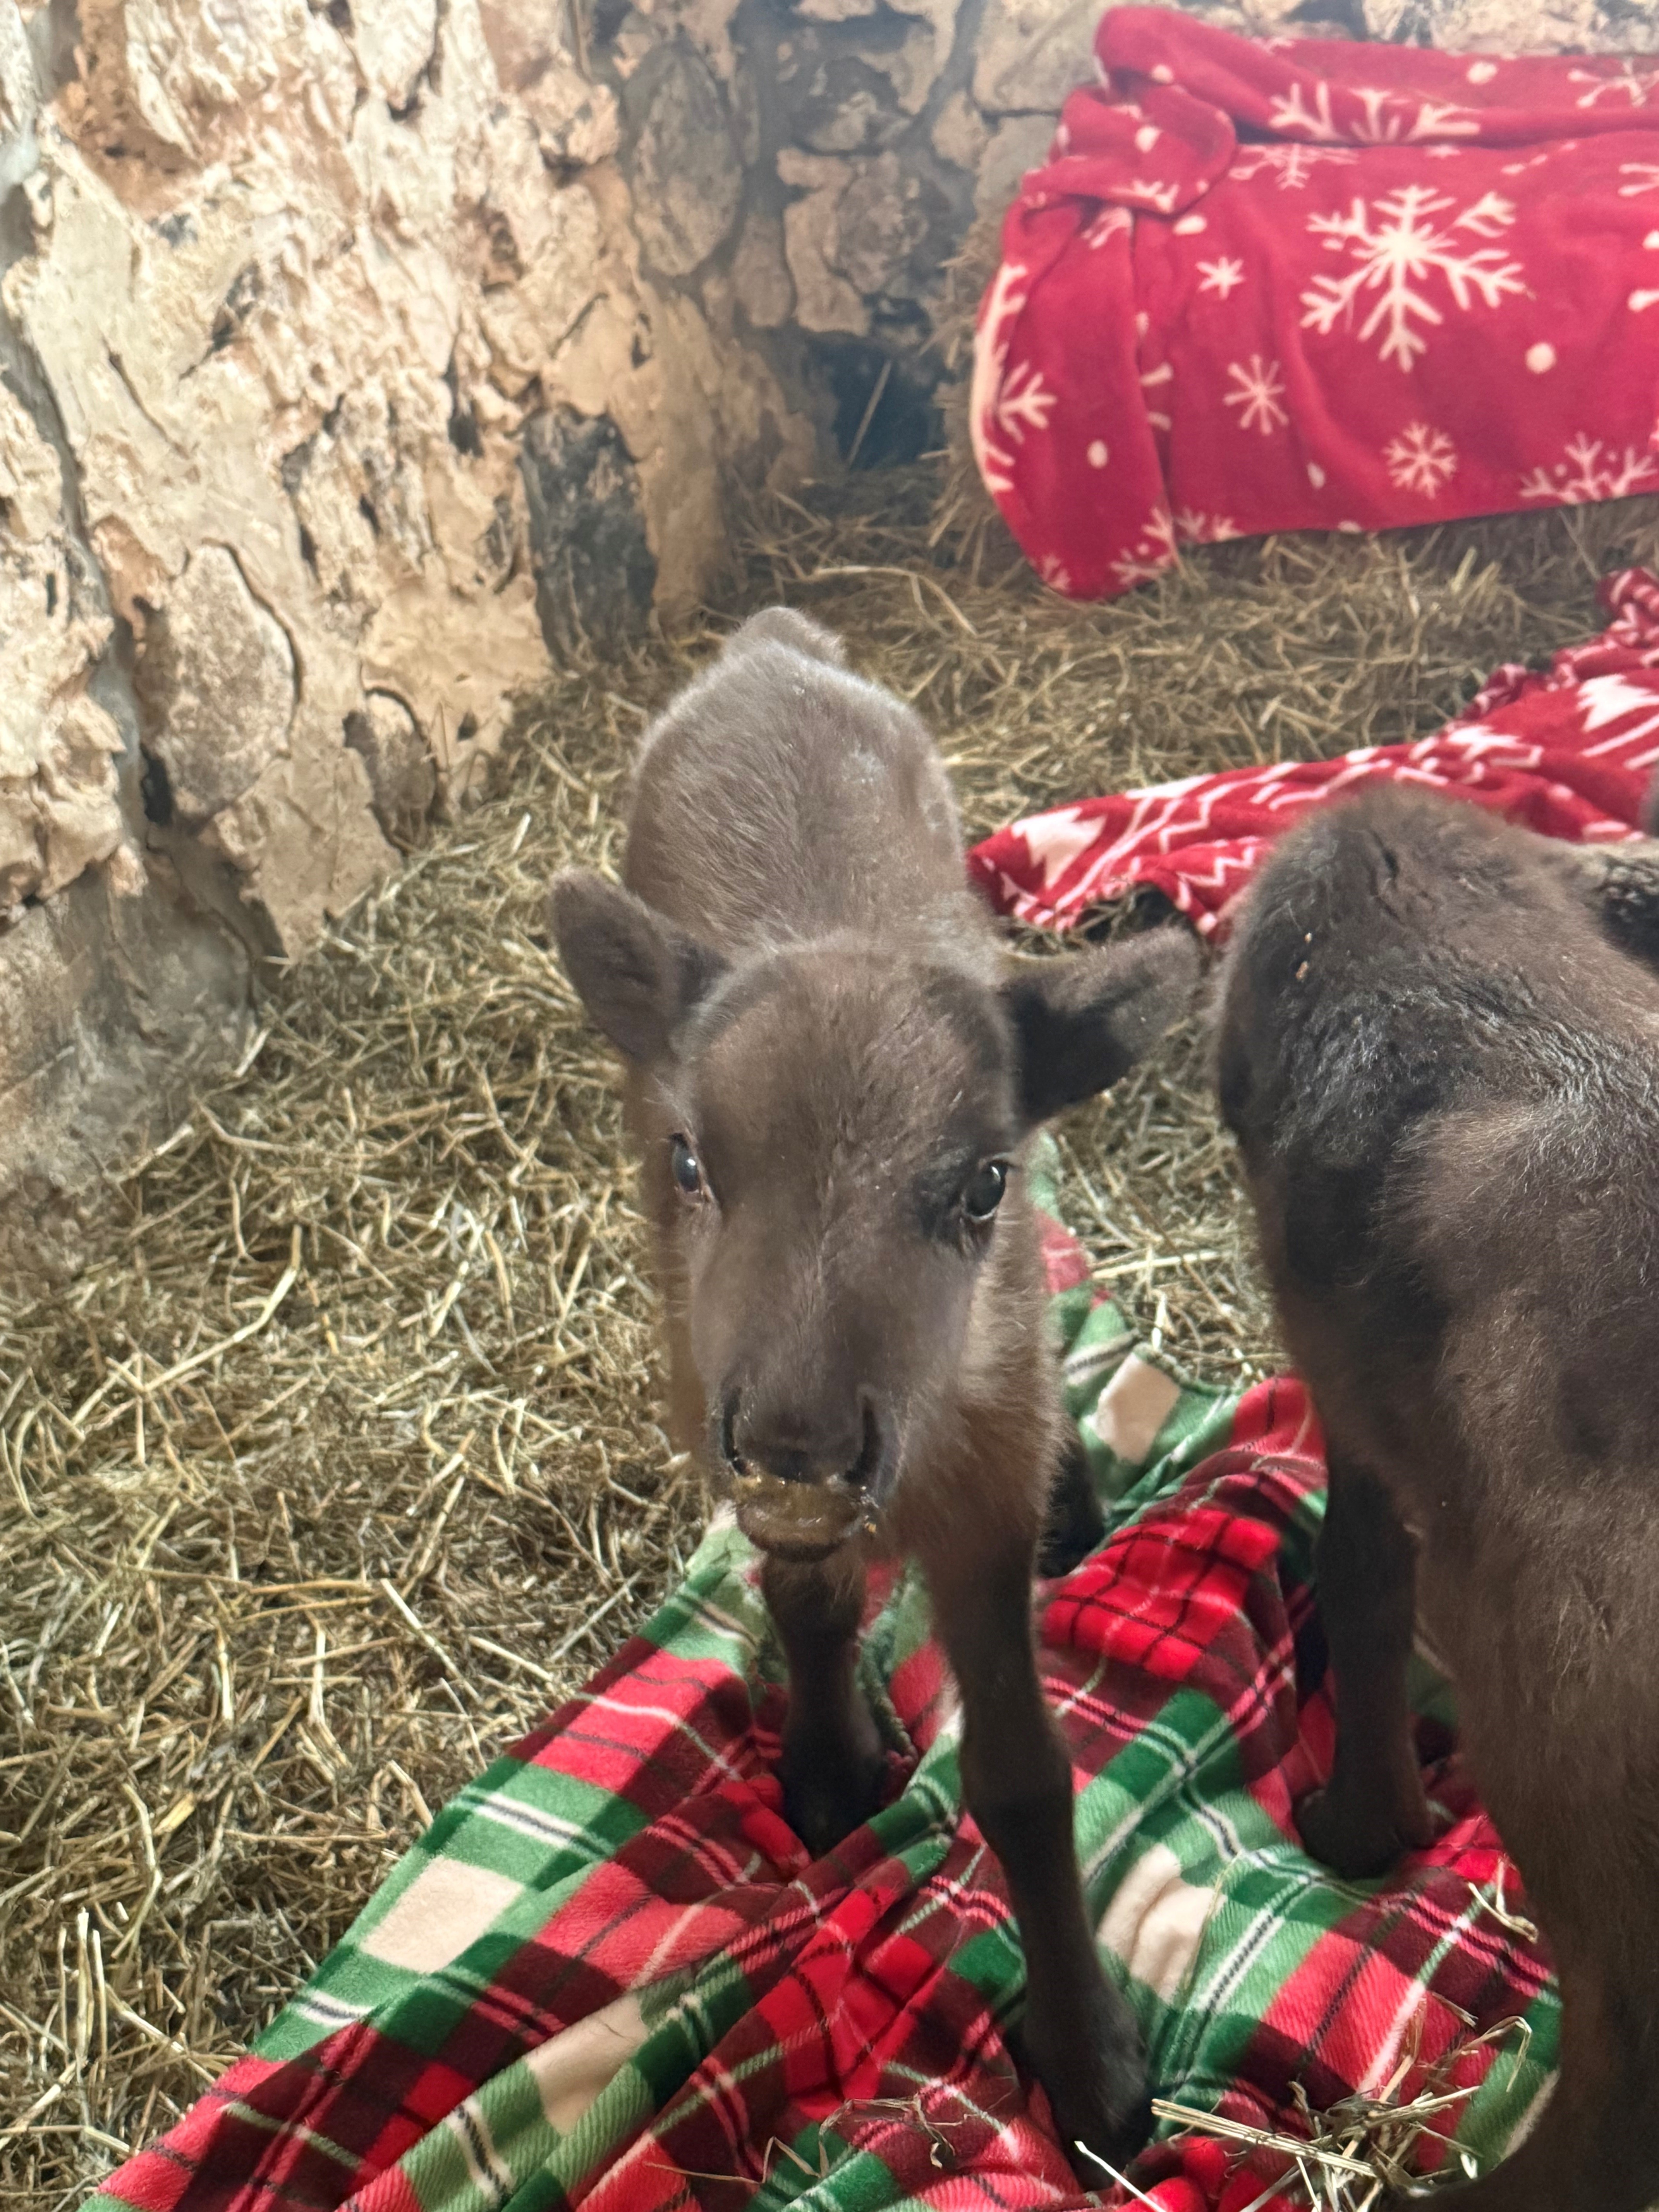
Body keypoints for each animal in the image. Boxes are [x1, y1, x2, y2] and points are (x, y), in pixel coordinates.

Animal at [548, 605, 1199, 2170]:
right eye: (688, 1158)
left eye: (978, 1181)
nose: (795, 1439)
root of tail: (772, 643)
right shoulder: (714, 1405)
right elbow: (806, 1600)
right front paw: (832, 1765)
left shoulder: (977, 1480)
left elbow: (1024, 1777)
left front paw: (1090, 2067)